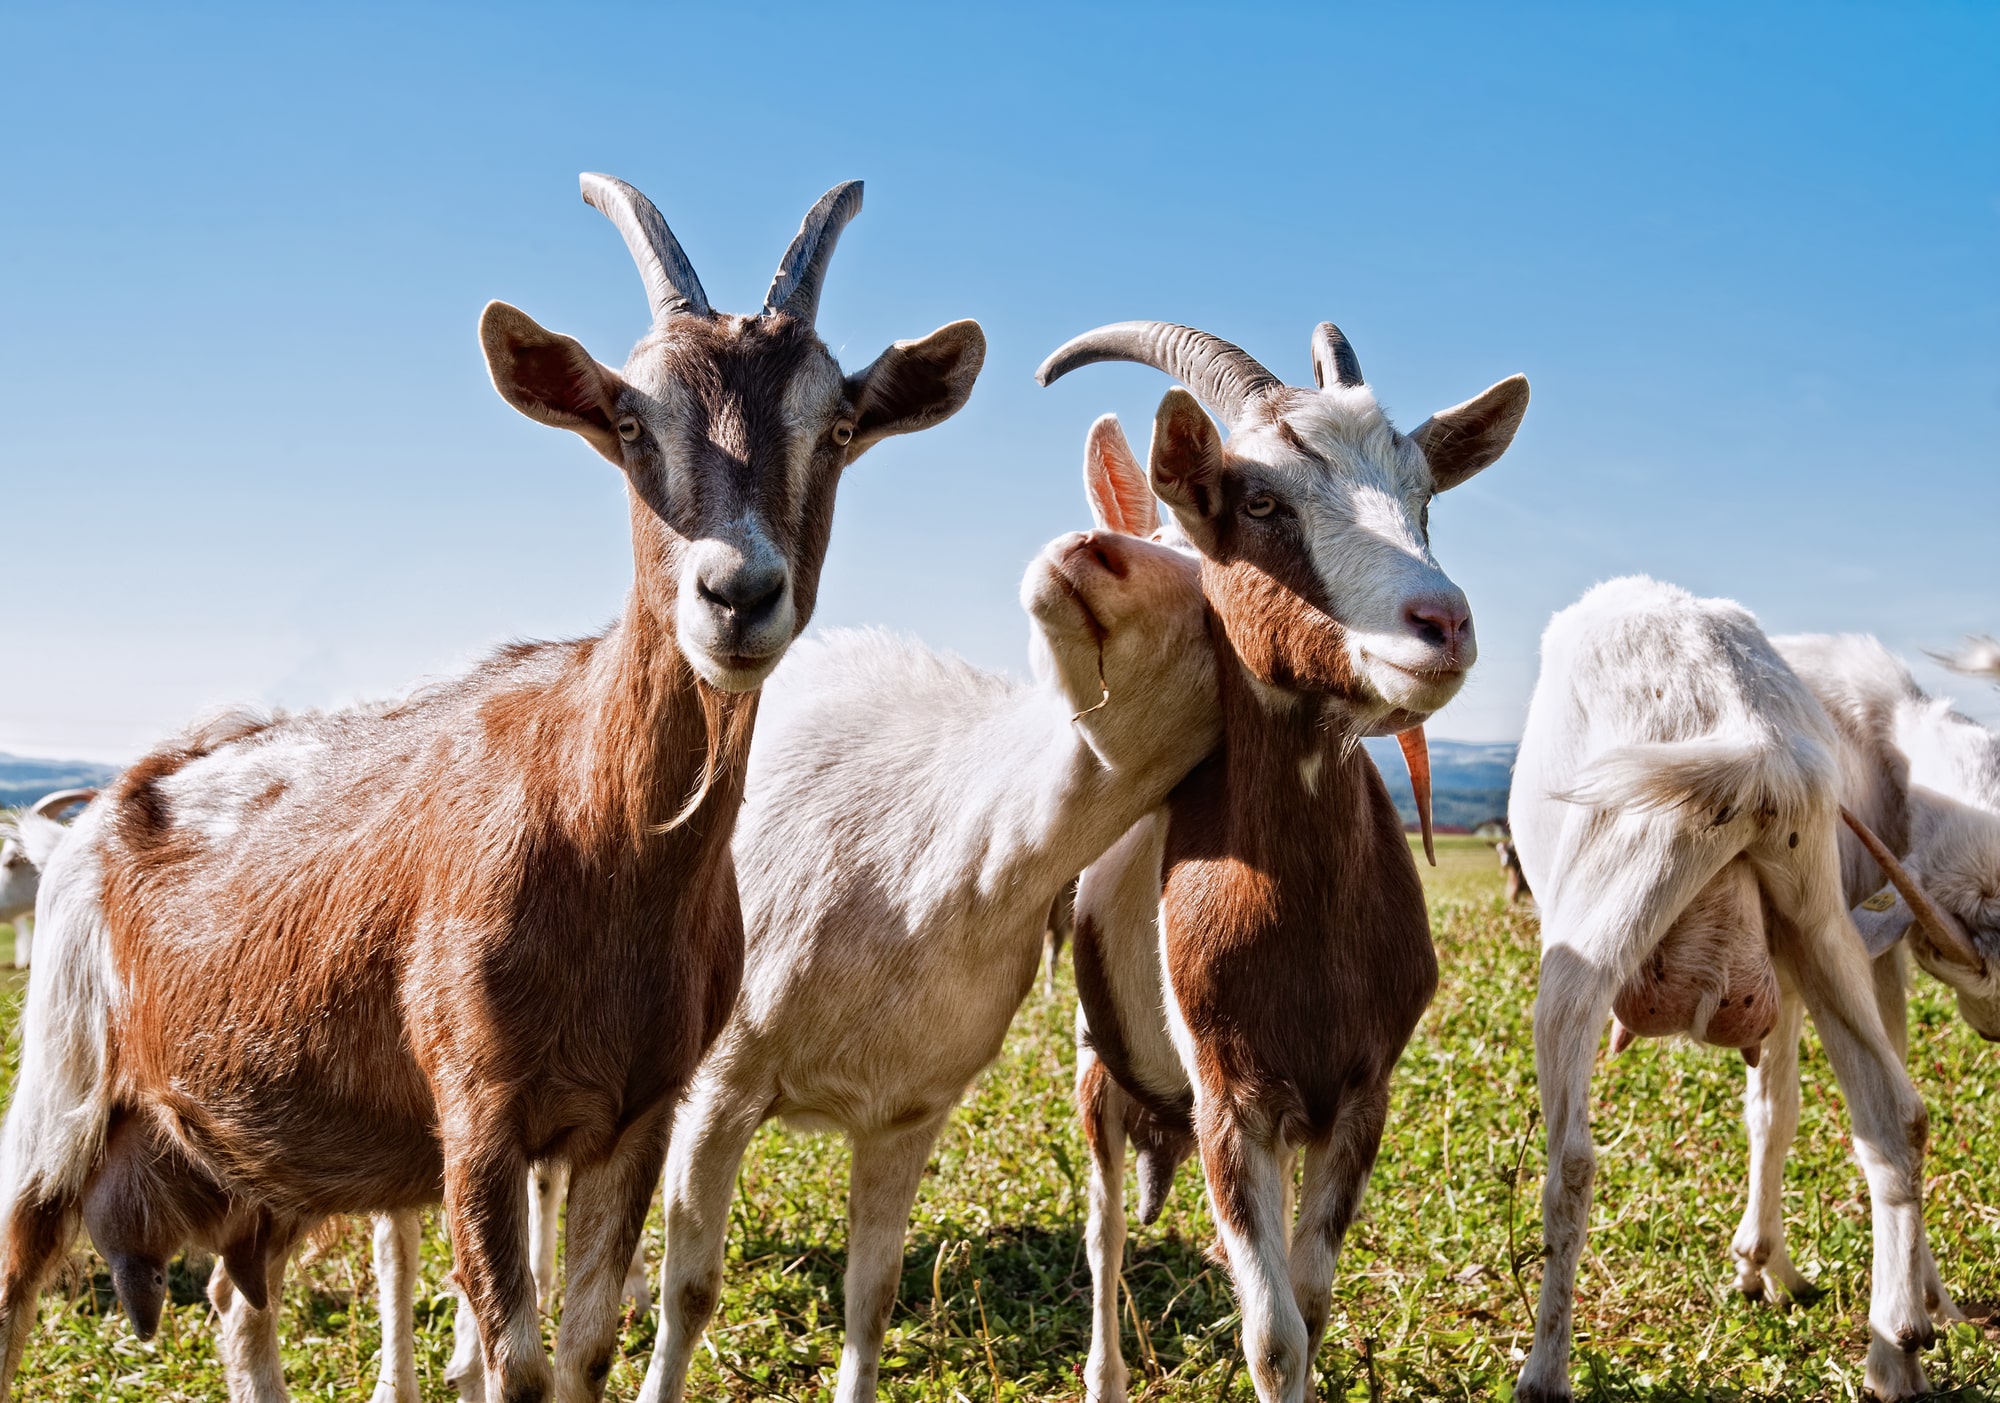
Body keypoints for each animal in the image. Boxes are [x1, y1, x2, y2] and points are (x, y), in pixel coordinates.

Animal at [1037, 319, 1529, 1402]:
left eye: (1423, 498)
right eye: (1261, 502)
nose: (1442, 621)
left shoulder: (1361, 1088)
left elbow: (1308, 1298)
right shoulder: (1232, 1099)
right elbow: (1272, 1334)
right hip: (1097, 1061)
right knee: (1102, 1231)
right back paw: (1104, 1373)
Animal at [1508, 577, 1953, 1402]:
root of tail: (1751, 738)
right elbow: (1776, 1110)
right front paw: (1771, 1272)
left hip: (1601, 914)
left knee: (1572, 1164)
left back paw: (1544, 1370)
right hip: (1816, 909)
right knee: (1895, 1116)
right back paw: (1897, 1352)